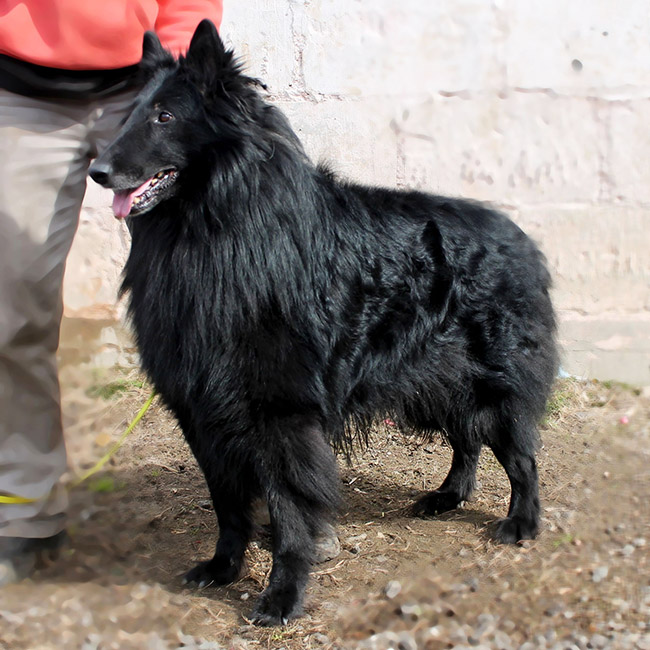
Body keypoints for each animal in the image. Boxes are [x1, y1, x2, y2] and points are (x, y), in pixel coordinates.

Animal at [88, 21, 556, 624]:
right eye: (130, 115)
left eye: (164, 117)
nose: (97, 172)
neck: (216, 227)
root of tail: (522, 239)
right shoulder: (202, 413)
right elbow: (228, 505)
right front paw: (223, 567)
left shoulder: (279, 415)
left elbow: (289, 511)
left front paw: (282, 596)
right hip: (436, 380)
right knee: (466, 440)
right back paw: (448, 496)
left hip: (488, 383)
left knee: (520, 456)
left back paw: (522, 521)